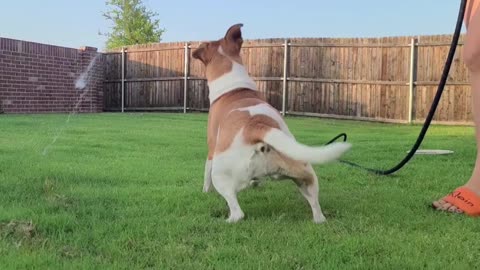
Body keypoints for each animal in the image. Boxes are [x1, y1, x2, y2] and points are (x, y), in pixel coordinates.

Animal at [192, 23, 352, 224]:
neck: (235, 88)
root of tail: (259, 125)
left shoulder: (212, 148)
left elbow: (206, 171)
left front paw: (205, 191)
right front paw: (255, 182)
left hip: (221, 173)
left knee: (237, 211)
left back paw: (228, 220)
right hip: (305, 174)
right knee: (316, 206)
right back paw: (318, 218)